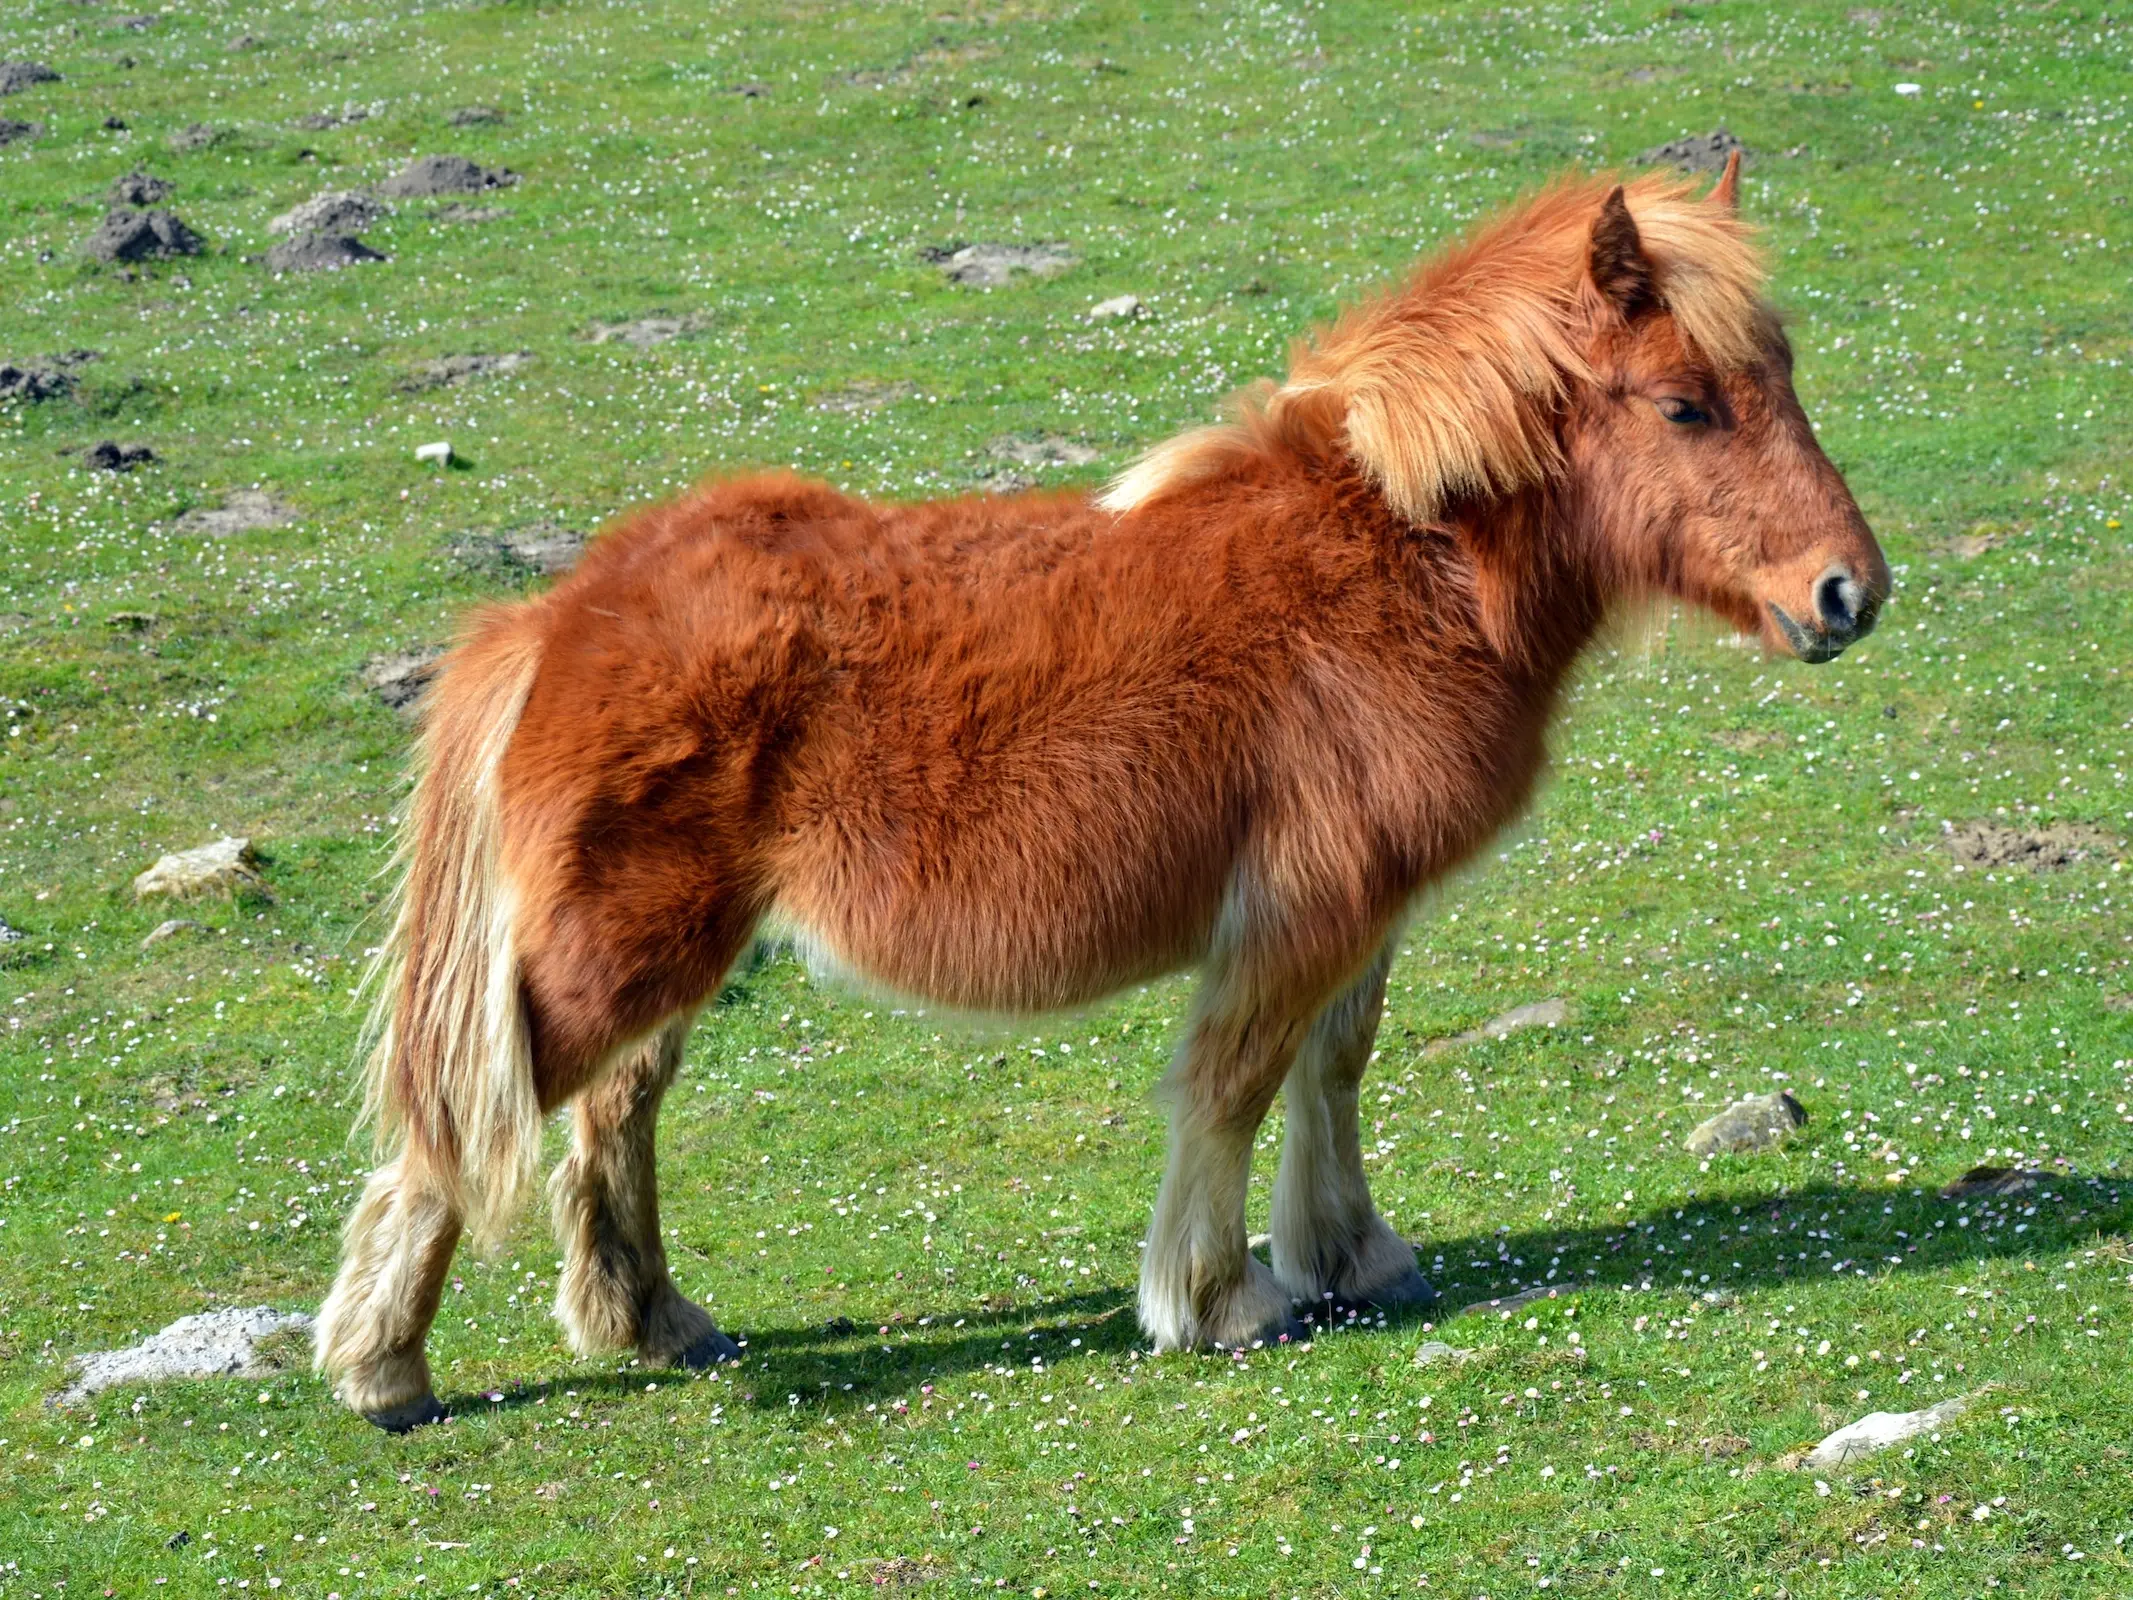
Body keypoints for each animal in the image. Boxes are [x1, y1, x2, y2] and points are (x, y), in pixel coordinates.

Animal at [311, 160, 1885, 1442]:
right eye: (1685, 404)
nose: (1848, 596)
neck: (1399, 565)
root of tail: (555, 615)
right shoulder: (1302, 908)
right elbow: (1233, 1084)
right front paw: (1219, 1298)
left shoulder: (1363, 910)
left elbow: (1332, 1068)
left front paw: (1350, 1257)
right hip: (614, 957)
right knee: (458, 1137)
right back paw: (384, 1373)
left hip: (672, 953)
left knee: (615, 1116)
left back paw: (654, 1322)